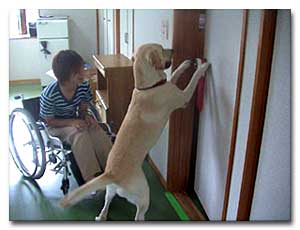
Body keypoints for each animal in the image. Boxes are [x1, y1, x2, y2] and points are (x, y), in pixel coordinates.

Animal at [59, 43, 210, 221]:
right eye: (161, 48)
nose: (173, 50)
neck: (147, 87)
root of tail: (111, 173)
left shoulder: (168, 84)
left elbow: (175, 74)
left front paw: (185, 64)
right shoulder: (183, 97)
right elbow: (193, 81)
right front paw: (202, 67)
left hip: (111, 190)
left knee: (106, 203)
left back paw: (102, 216)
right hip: (144, 195)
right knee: (138, 216)